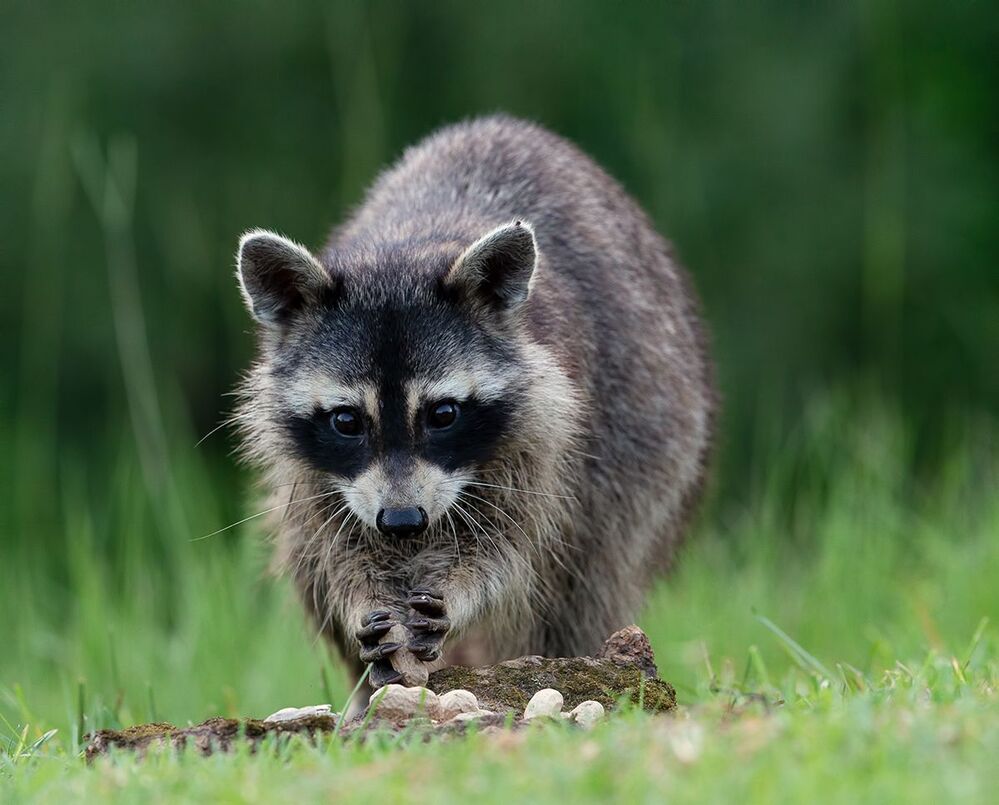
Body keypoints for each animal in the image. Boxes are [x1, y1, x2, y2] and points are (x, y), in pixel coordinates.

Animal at [234, 115, 714, 691]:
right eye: (347, 420)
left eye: (443, 415)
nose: (402, 522)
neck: (406, 248)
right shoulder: (308, 469)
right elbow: (332, 548)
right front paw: (358, 599)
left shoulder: (552, 432)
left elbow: (515, 546)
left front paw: (462, 591)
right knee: (306, 567)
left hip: (648, 443)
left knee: (583, 579)